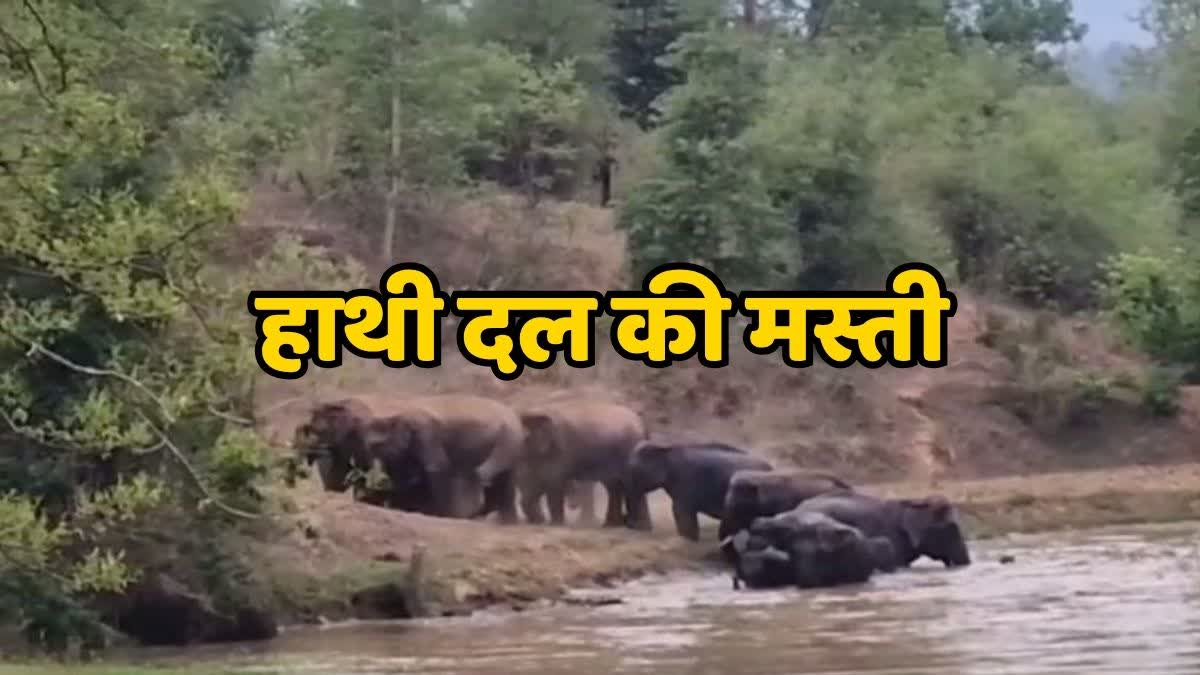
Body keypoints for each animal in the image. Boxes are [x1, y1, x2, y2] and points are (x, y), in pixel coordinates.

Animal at [480, 400, 649, 529]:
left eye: (523, 437)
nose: (481, 476)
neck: (536, 411)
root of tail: (643, 425)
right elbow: (535, 484)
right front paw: (539, 522)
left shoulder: (561, 447)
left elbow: (552, 481)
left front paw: (553, 525)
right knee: (614, 486)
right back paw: (612, 526)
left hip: (629, 448)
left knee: (629, 484)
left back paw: (638, 527)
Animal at [626, 440, 773, 541]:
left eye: (635, 470)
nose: (630, 524)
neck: (667, 448)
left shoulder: (684, 480)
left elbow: (680, 511)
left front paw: (688, 540)